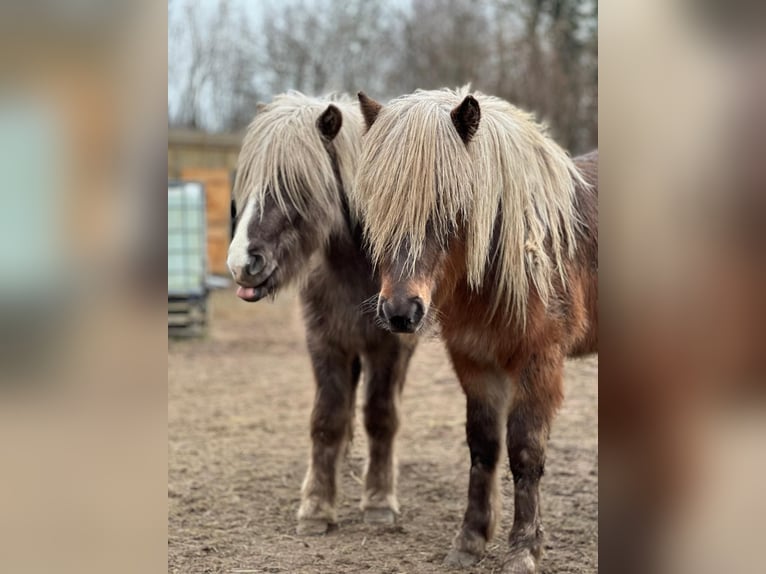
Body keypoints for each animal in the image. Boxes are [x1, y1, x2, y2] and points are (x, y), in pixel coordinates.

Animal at [228, 92, 420, 536]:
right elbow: (327, 418)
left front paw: (378, 501)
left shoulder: (389, 348)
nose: (241, 263)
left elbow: (381, 416)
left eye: (295, 185)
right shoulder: (326, 343)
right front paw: (316, 505)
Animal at [354, 86, 600, 574]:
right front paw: (470, 541)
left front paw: (523, 549)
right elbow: (483, 446)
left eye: (449, 203)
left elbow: (525, 451)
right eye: (380, 205)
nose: (400, 311)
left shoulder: (539, 361)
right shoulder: (474, 361)